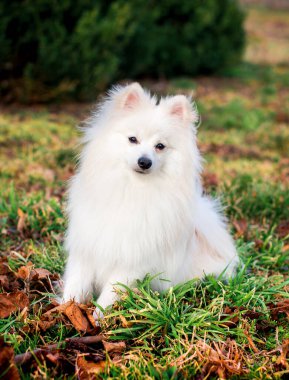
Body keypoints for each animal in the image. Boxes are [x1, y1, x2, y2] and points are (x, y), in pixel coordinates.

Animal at [63, 84, 238, 312]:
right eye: (133, 139)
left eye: (160, 146)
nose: (144, 162)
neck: (131, 190)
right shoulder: (87, 244)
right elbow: (76, 280)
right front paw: (65, 308)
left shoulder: (134, 259)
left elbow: (111, 290)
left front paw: (98, 315)